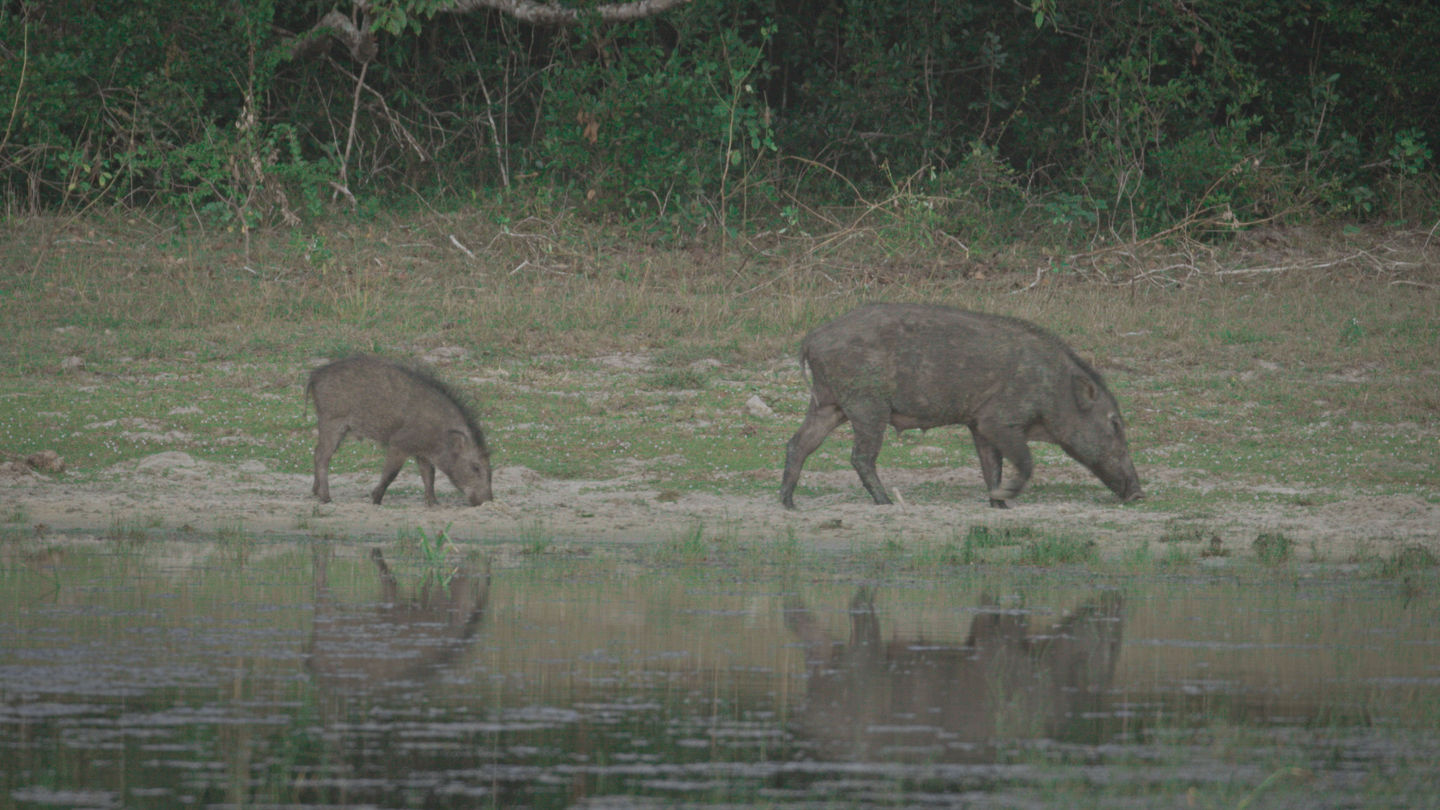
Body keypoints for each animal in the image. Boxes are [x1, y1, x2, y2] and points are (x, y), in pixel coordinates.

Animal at [307, 355, 493, 506]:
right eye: (476, 467)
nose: (488, 500)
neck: (441, 435)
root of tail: (315, 376)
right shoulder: (399, 444)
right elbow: (391, 473)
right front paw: (376, 499)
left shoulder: (422, 453)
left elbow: (429, 476)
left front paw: (434, 503)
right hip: (332, 422)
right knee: (322, 456)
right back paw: (326, 498)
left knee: (317, 452)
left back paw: (315, 492)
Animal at [779, 303, 1142, 508]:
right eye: (1114, 423)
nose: (1139, 494)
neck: (1053, 390)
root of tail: (810, 340)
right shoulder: (999, 419)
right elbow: (1025, 462)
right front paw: (1007, 496)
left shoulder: (978, 423)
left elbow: (991, 465)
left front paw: (999, 504)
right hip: (867, 404)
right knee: (860, 456)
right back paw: (885, 504)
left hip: (829, 403)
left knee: (798, 443)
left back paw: (789, 504)